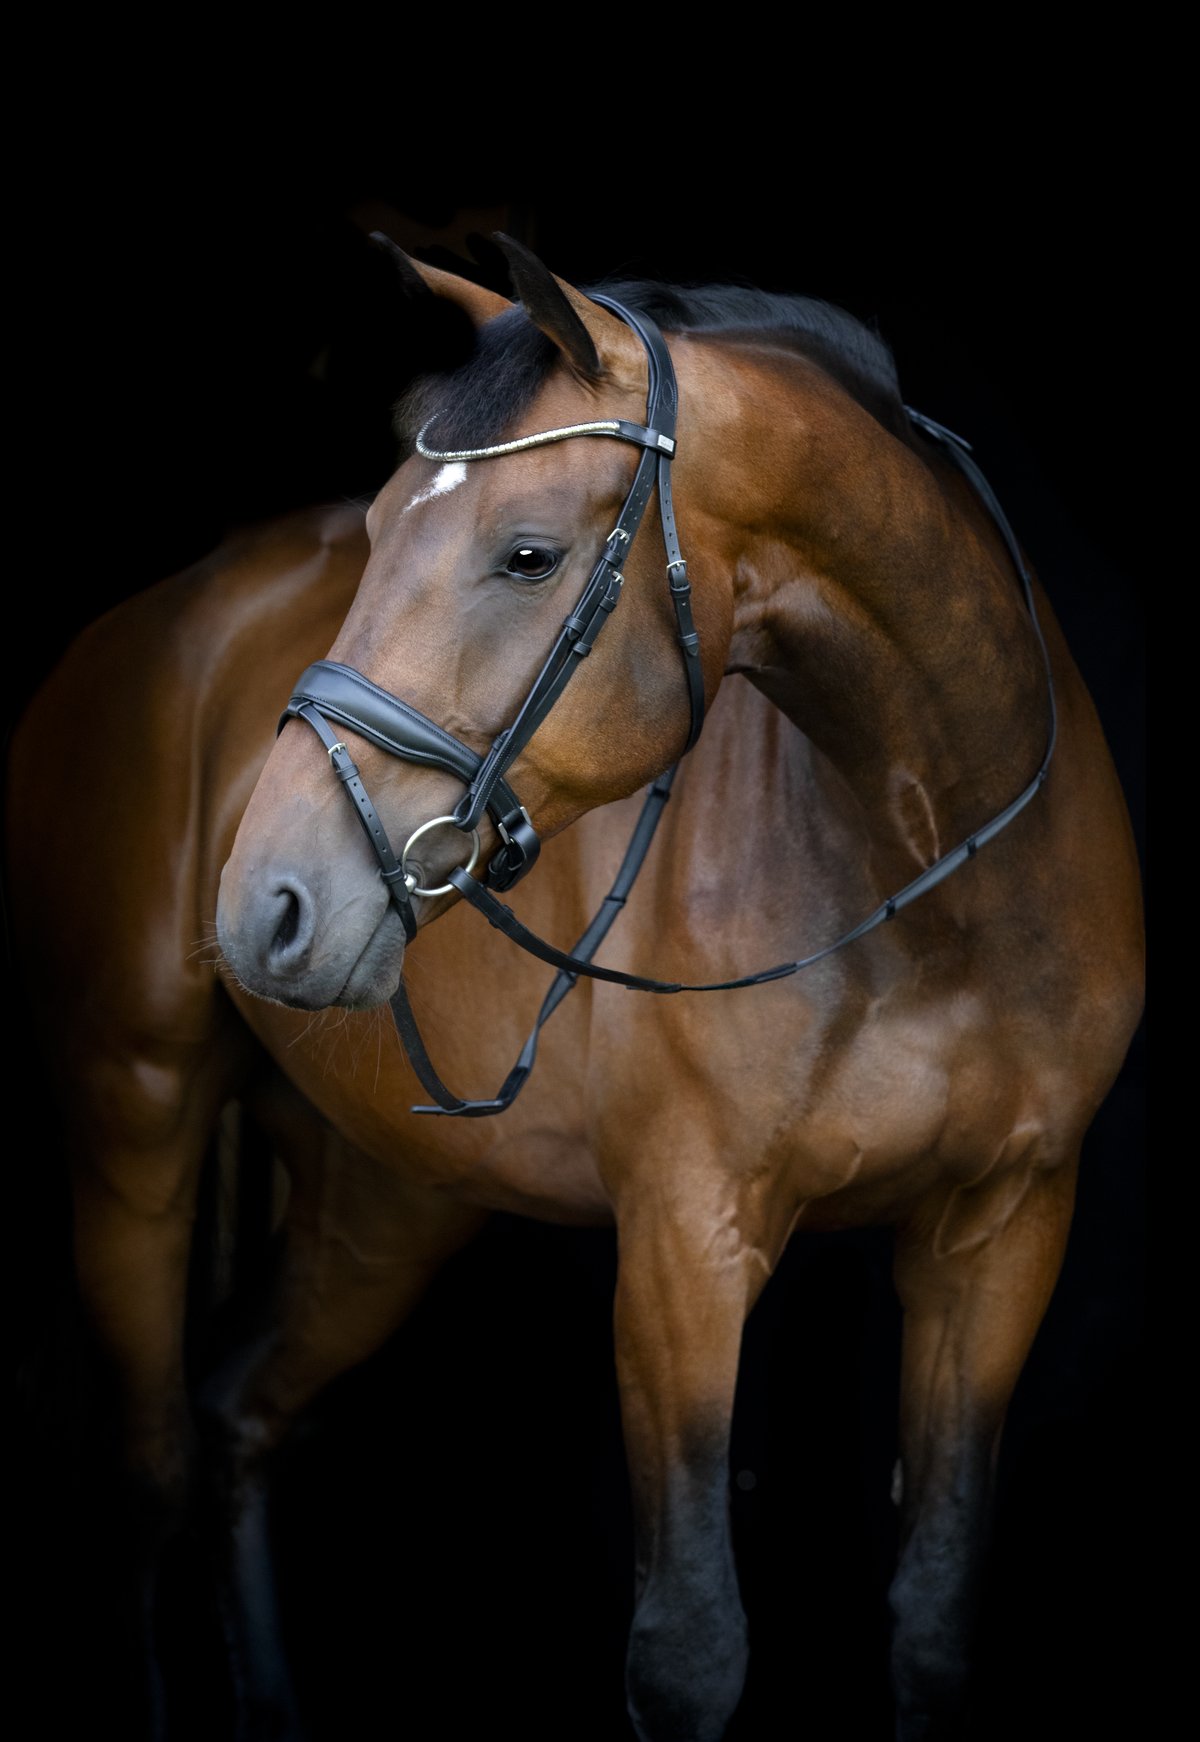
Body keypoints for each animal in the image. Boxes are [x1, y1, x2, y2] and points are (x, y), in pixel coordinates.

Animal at [8, 234, 1143, 1741]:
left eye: (529, 553)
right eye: (376, 525)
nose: (265, 904)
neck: (933, 875)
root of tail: (144, 626)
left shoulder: (1002, 1234)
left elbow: (935, 1620)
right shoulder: (685, 1241)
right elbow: (690, 1647)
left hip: (390, 1197)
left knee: (242, 1405)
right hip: (131, 1117)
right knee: (141, 1476)